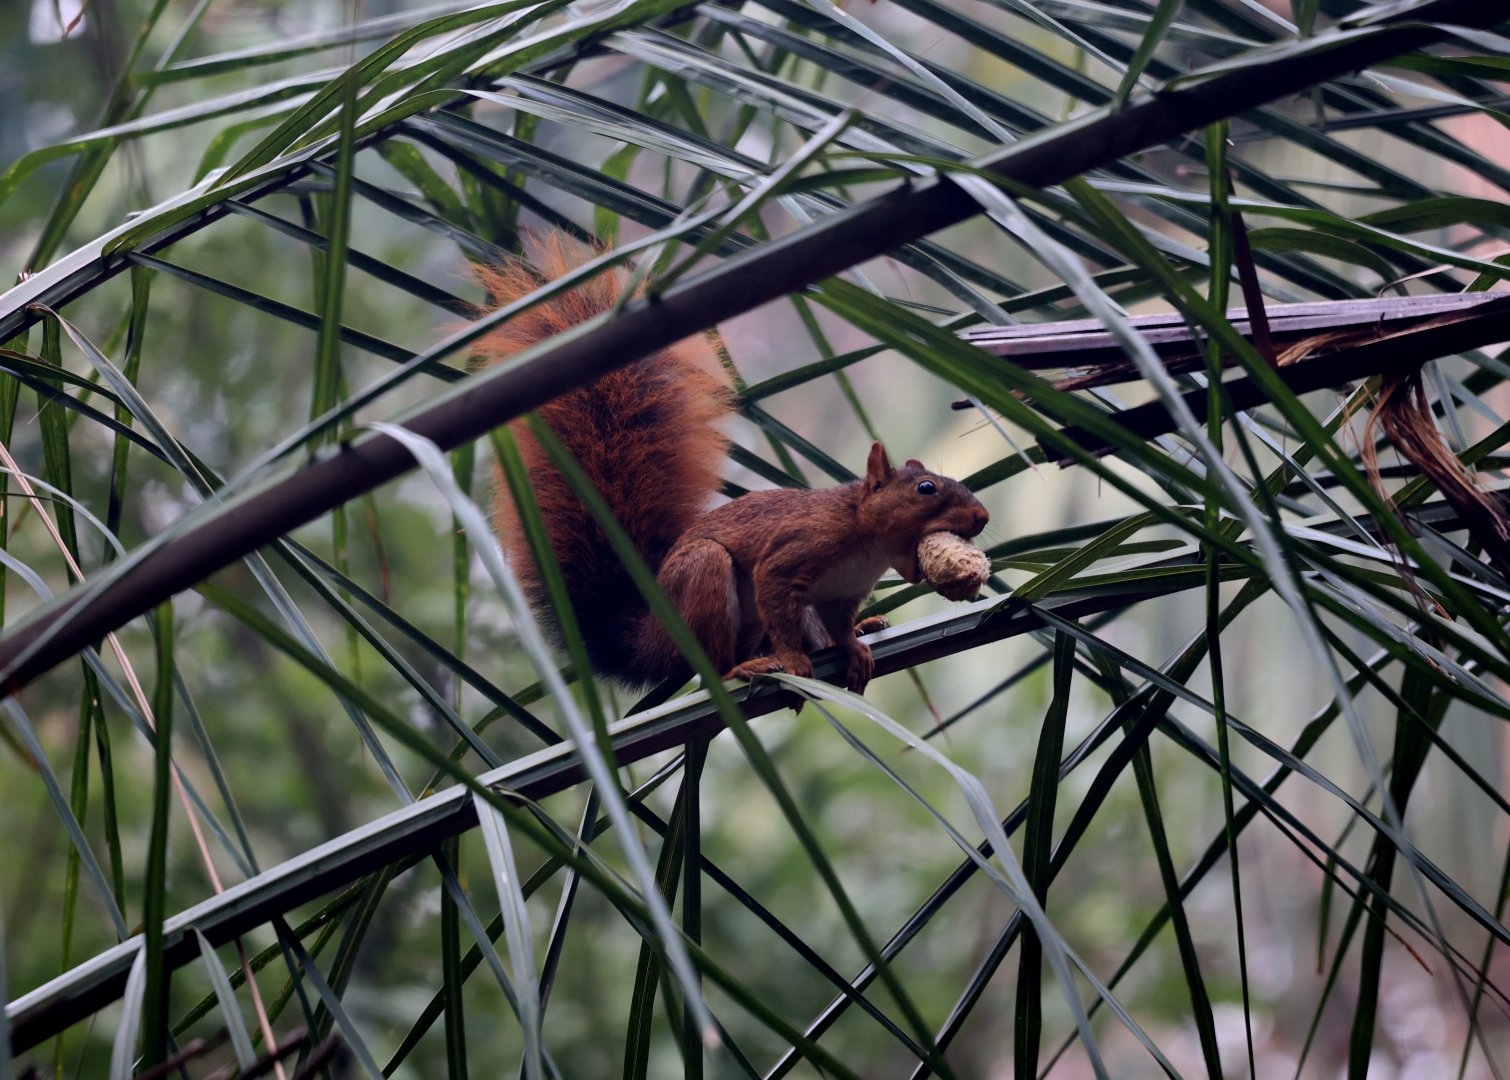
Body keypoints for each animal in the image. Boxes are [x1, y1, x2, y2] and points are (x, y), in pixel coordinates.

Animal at [476, 235, 989, 694]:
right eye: (926, 488)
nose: (982, 517)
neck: (866, 538)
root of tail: (657, 636)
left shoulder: (842, 595)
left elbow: (838, 626)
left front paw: (852, 645)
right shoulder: (792, 556)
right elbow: (776, 598)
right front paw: (794, 660)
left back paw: (856, 632)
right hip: (704, 579)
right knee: (715, 662)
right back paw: (741, 668)